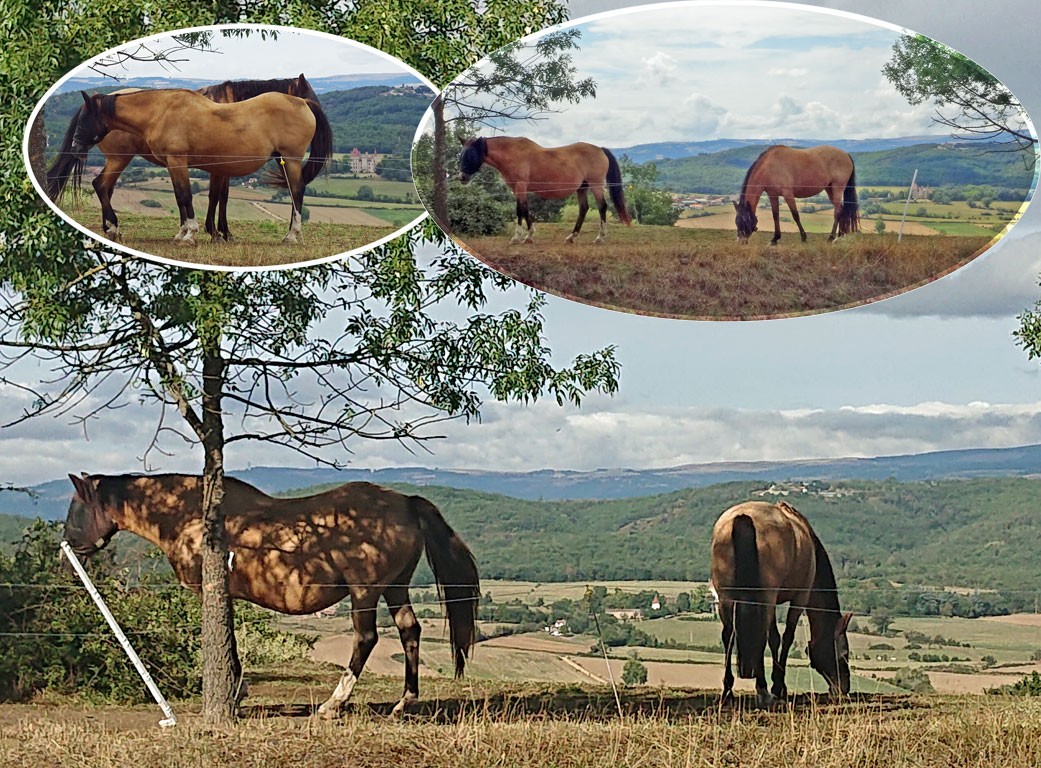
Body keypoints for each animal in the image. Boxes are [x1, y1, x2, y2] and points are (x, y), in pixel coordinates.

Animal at [45, 73, 320, 242]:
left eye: (86, 118)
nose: (75, 145)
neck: (162, 111)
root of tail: (301, 105)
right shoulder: (177, 164)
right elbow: (183, 196)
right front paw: (189, 233)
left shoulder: (181, 162)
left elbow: (191, 196)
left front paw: (192, 233)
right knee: (103, 186)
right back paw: (112, 228)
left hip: (290, 160)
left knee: (296, 191)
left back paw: (291, 236)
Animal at [67, 470, 480, 715]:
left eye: (75, 510)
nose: (66, 553)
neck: (190, 515)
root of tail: (407, 504)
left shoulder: (213, 591)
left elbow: (227, 641)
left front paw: (236, 694)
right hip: (396, 587)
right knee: (410, 630)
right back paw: (404, 702)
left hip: (364, 591)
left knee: (366, 638)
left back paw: (333, 704)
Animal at [453, 136, 628, 243]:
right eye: (461, 154)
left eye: (470, 154)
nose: (461, 177)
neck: (513, 153)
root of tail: (600, 149)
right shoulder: (518, 189)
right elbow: (525, 208)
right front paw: (529, 236)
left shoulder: (521, 186)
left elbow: (520, 210)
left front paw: (518, 237)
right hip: (582, 188)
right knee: (583, 209)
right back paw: (571, 237)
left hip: (596, 185)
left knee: (602, 207)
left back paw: (600, 238)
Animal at [707, 497, 853, 707]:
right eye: (844, 653)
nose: (843, 689)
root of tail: (742, 517)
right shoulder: (799, 598)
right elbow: (784, 638)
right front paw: (778, 687)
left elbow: (773, 638)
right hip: (765, 597)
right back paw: (763, 691)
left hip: (725, 596)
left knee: (729, 635)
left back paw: (728, 690)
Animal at [728, 141, 857, 242]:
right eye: (736, 222)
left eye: (744, 221)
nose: (740, 241)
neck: (769, 167)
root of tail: (846, 154)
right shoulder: (772, 195)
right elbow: (775, 215)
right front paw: (775, 238)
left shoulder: (788, 194)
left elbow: (795, 215)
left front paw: (804, 237)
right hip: (830, 189)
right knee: (840, 209)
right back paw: (840, 235)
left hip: (837, 187)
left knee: (838, 211)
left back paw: (831, 237)